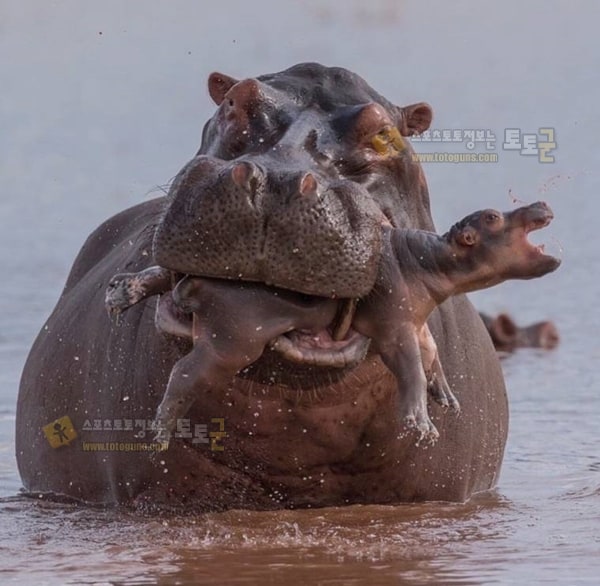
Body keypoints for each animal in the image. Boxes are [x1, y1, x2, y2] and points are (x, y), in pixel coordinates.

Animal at [105, 201, 560, 442]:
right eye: (493, 218)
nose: (540, 205)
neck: (428, 258)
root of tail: (199, 282)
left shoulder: (416, 322)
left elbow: (430, 355)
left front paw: (447, 397)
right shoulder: (395, 328)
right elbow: (410, 369)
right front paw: (423, 427)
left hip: (196, 277)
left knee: (161, 274)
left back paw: (119, 293)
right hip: (230, 342)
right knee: (183, 372)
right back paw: (160, 434)